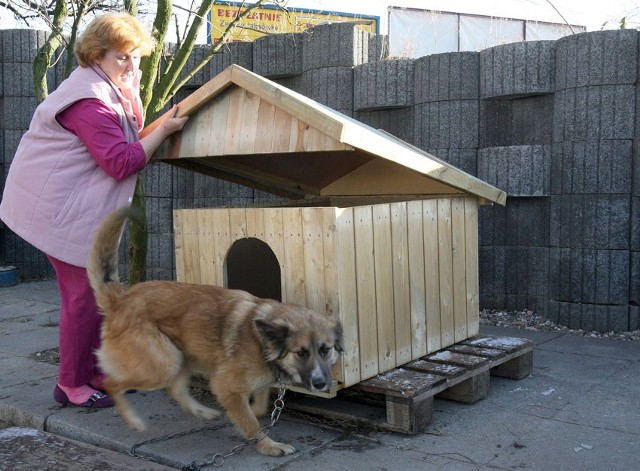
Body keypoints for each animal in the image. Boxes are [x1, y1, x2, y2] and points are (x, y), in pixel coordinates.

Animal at [89, 207, 344, 458]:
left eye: (325, 349)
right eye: (301, 352)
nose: (321, 384)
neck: (263, 341)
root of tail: (121, 298)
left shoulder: (255, 383)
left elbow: (259, 407)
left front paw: (250, 414)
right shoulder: (225, 385)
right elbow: (251, 422)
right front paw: (268, 445)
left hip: (181, 355)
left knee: (175, 389)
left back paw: (202, 412)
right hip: (162, 364)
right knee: (112, 383)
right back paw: (134, 421)